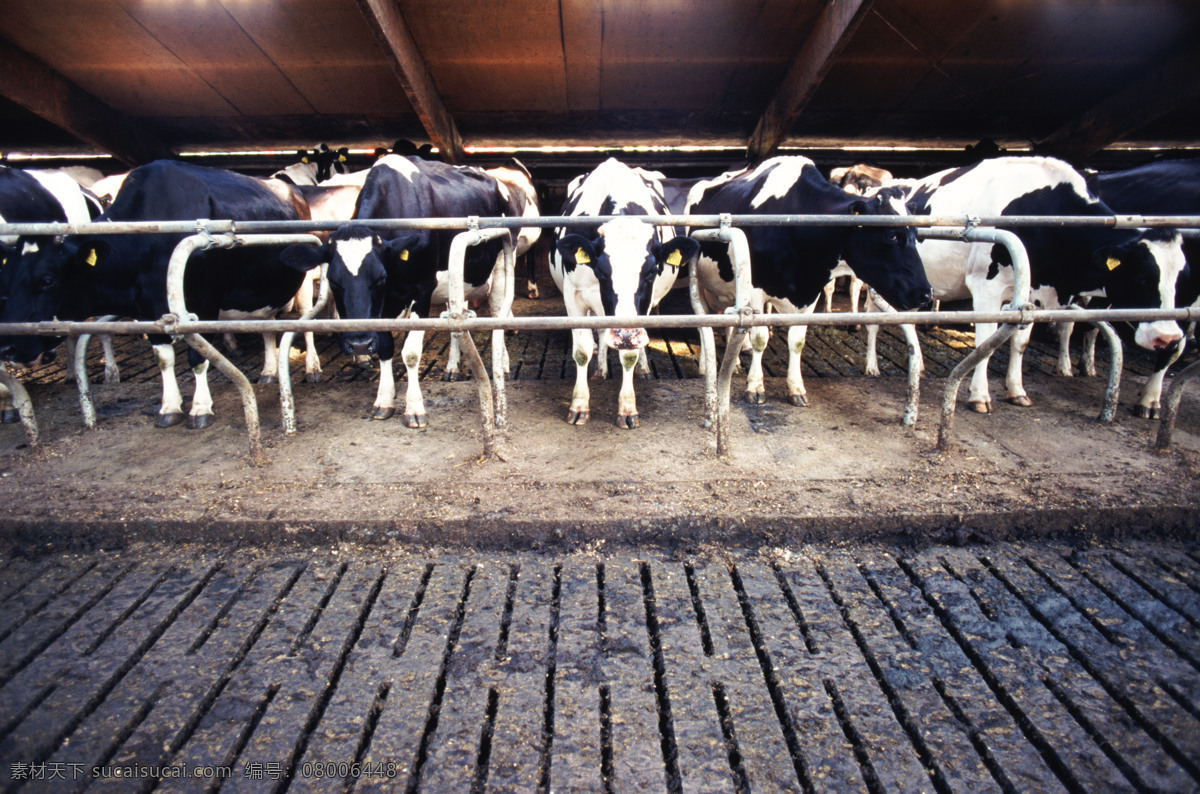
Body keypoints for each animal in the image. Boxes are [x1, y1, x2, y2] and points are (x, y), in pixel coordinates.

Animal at [0, 160, 314, 429]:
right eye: (8, 279)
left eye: (47, 280)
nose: (8, 347)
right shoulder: (147, 311)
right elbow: (163, 358)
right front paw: (170, 407)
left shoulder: (203, 303)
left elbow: (197, 358)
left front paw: (200, 409)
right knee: (267, 327)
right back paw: (269, 372)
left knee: (303, 322)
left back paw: (310, 367)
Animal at [278, 155, 537, 429]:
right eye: (334, 281)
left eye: (380, 278)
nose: (358, 344)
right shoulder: (382, 307)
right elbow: (385, 347)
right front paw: (384, 400)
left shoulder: (421, 291)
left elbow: (410, 353)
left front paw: (414, 408)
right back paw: (453, 366)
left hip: (503, 260)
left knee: (498, 310)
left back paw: (504, 364)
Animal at [549, 157, 700, 429]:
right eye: (601, 271)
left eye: (651, 271)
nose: (625, 335)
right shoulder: (573, 297)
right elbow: (582, 351)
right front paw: (579, 406)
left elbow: (629, 354)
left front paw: (628, 409)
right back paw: (600, 370)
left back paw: (642, 368)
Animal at [681, 153, 931, 405]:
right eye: (891, 235)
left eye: (916, 234)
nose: (926, 293)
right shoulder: (756, 289)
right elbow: (760, 337)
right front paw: (756, 387)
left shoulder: (810, 292)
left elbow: (797, 341)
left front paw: (796, 389)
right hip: (702, 283)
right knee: (705, 318)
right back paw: (706, 365)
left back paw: (737, 363)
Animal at [902, 158, 1185, 412]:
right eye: (1141, 277)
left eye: (1181, 279)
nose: (1168, 337)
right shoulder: (986, 288)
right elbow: (984, 343)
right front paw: (980, 396)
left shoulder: (1032, 295)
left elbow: (1020, 343)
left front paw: (1017, 390)